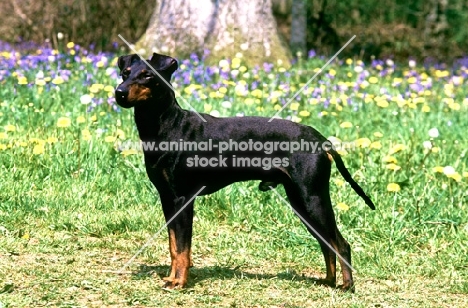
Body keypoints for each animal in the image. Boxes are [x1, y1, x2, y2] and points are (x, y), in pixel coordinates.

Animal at [115, 52, 374, 292]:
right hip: (301, 203)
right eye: (125, 73)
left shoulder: (182, 200)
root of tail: (321, 140)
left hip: (313, 199)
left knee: (341, 244)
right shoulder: (167, 199)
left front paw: (179, 281)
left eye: (148, 75)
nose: (119, 92)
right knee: (326, 242)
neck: (168, 125)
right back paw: (328, 281)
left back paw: (346, 286)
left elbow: (182, 247)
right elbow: (173, 245)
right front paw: (171, 277)